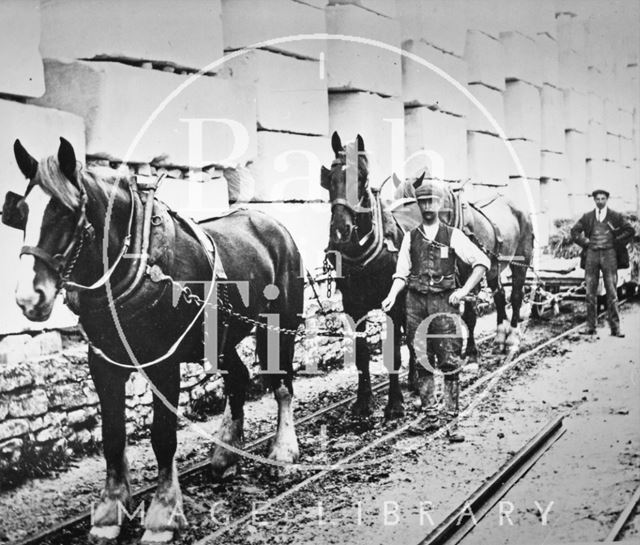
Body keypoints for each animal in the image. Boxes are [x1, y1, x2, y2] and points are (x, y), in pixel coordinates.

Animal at [3, 139, 302, 540]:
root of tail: (273, 224)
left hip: (280, 325)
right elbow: (113, 435)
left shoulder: (164, 363)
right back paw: (226, 454)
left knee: (282, 384)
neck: (137, 264)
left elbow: (162, 436)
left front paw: (163, 514)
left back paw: (283, 449)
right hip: (219, 339)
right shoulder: (103, 363)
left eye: (65, 212)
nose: (28, 298)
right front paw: (111, 509)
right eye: (20, 214)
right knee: (238, 379)